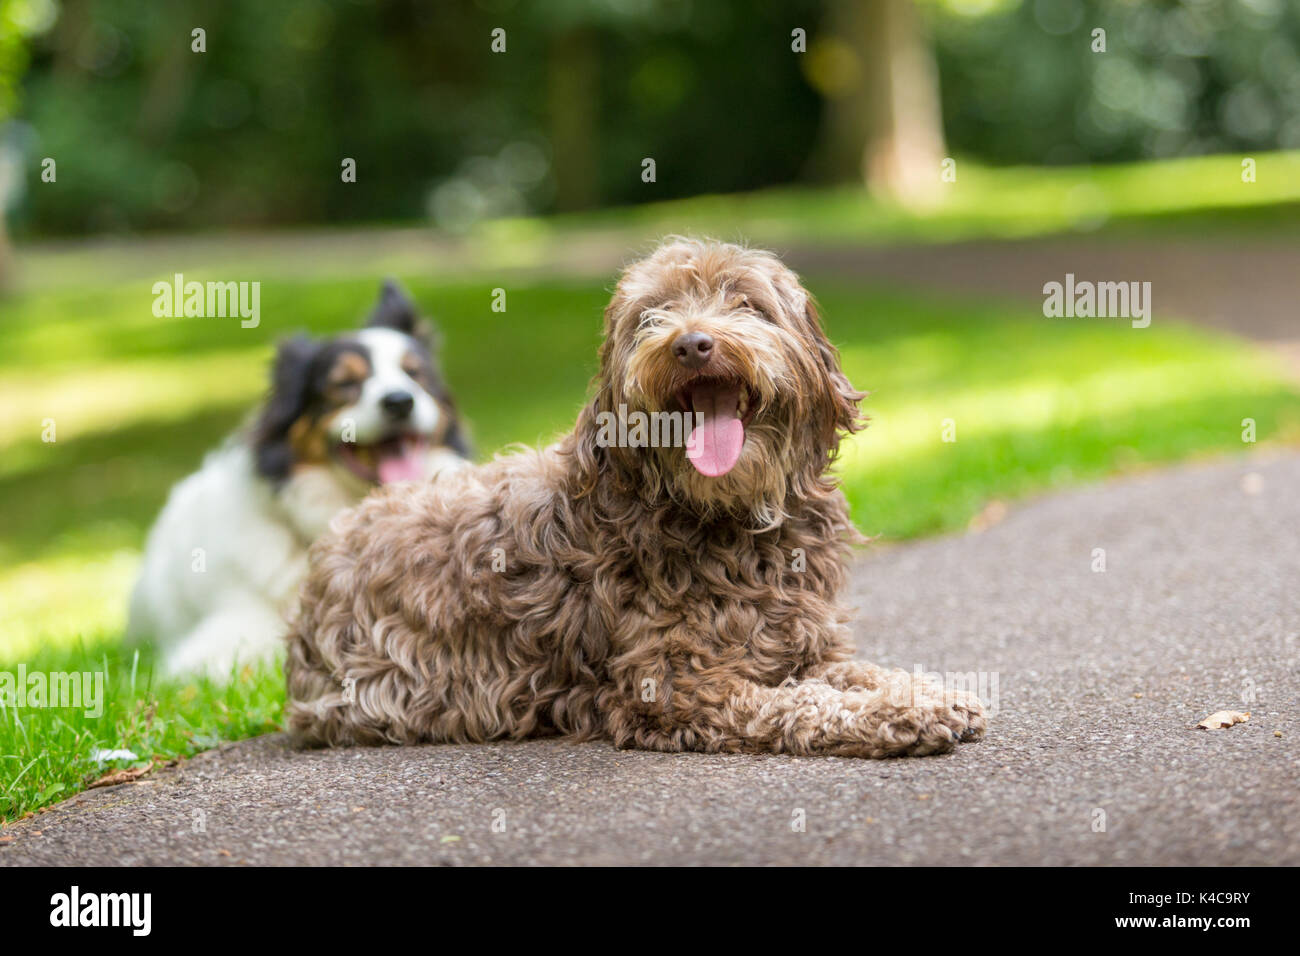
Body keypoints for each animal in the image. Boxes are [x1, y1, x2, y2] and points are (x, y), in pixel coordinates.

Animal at [284, 238, 982, 754]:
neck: (727, 516)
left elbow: (862, 671)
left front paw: (923, 693)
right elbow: (804, 704)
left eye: (746, 303)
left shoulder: (802, 643)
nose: (692, 343)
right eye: (651, 316)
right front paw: (900, 716)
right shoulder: (678, 686)